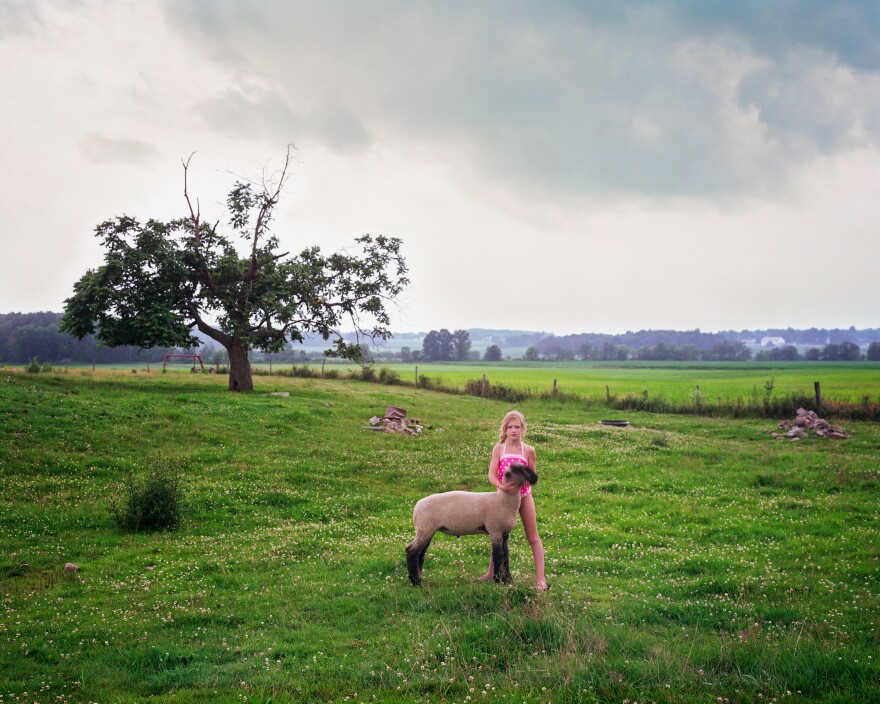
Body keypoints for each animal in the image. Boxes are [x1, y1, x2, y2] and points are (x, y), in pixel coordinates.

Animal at [406, 464, 536, 584]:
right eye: (519, 469)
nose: (535, 478)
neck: (502, 500)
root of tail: (416, 507)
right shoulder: (495, 530)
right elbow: (498, 556)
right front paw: (499, 581)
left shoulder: (505, 534)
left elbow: (506, 556)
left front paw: (508, 579)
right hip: (425, 528)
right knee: (412, 551)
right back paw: (416, 582)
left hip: (427, 530)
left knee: (420, 554)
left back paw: (418, 578)